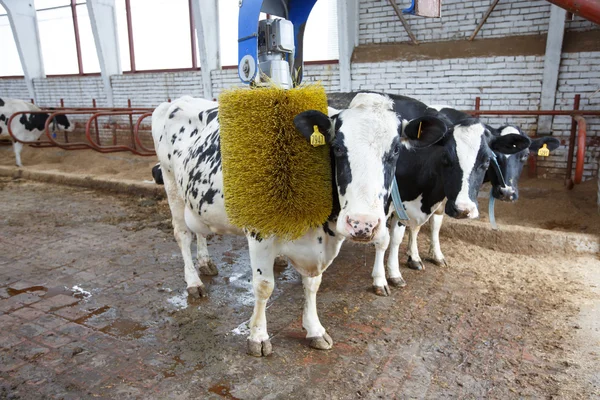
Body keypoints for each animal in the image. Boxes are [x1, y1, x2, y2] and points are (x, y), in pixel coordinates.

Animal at [152, 94, 448, 356]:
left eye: (396, 150)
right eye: (337, 147)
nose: (362, 224)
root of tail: (176, 102)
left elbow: (313, 284)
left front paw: (315, 330)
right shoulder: (260, 233)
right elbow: (264, 286)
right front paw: (258, 336)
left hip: (195, 200)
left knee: (200, 232)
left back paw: (205, 263)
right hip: (171, 185)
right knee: (182, 235)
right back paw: (193, 282)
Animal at [328, 92, 528, 296]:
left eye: (487, 161)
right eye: (446, 158)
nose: (463, 210)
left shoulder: (428, 201)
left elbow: (419, 230)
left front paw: (415, 260)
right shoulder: (389, 205)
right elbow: (387, 239)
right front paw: (383, 279)